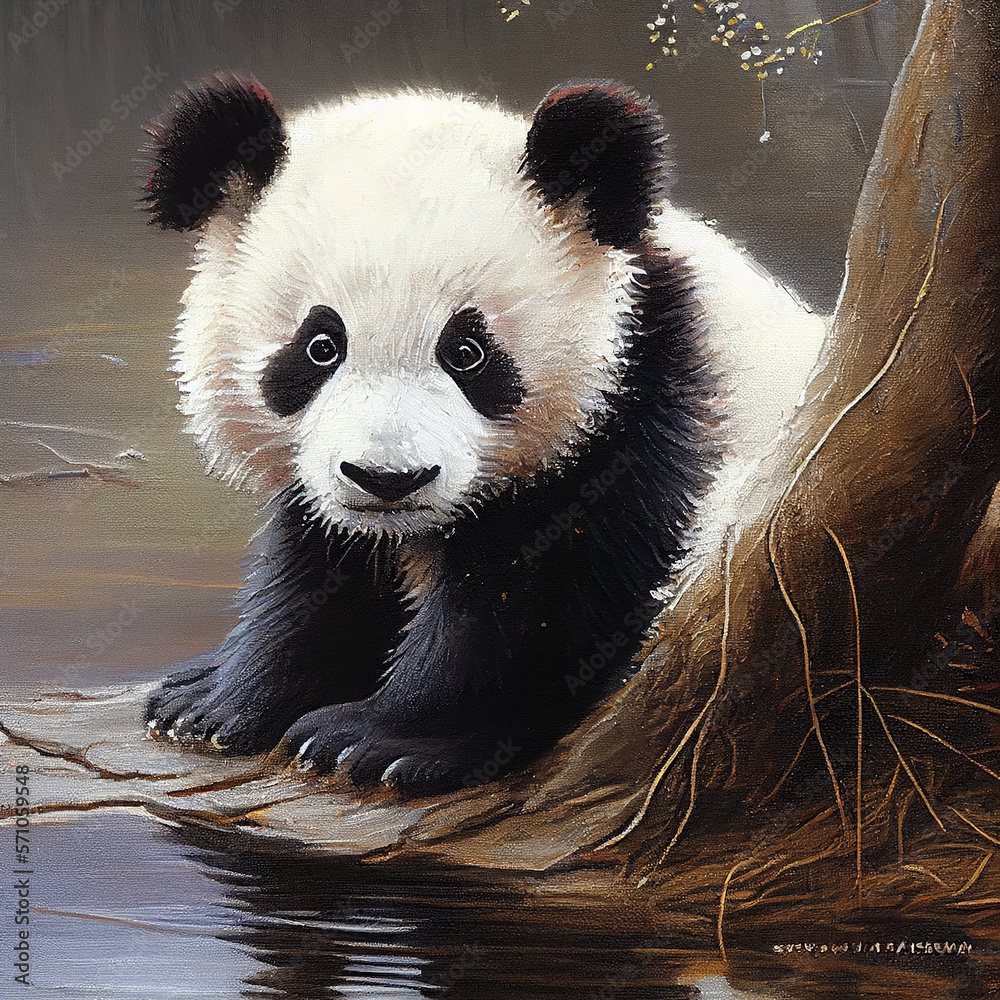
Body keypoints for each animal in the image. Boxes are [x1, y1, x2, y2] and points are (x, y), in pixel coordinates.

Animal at [143, 75, 826, 797]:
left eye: (467, 352)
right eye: (320, 346)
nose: (389, 479)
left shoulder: (649, 414)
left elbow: (547, 598)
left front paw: (376, 740)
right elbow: (319, 575)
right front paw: (213, 704)